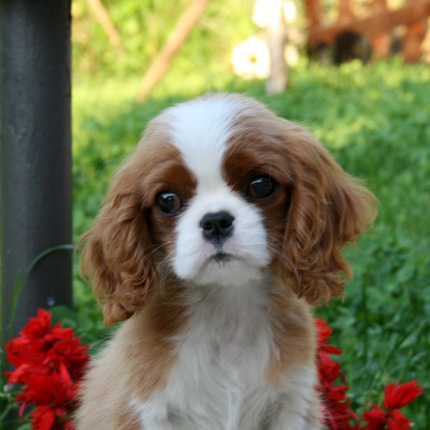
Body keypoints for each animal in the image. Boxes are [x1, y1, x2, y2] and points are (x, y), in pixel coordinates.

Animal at [75, 94, 374, 430]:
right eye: (167, 200)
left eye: (261, 184)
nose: (215, 221)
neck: (227, 306)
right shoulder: (146, 411)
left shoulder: (292, 403)